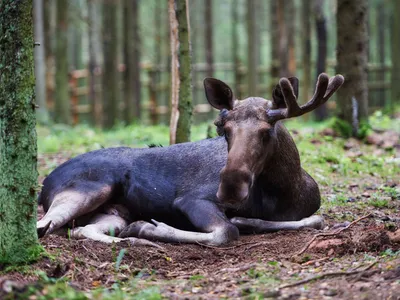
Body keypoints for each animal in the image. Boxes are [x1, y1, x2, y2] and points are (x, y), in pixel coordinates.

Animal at [36, 72, 344, 246]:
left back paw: (133, 240)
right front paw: (150, 227)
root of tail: (43, 184)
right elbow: (227, 231)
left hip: (113, 212)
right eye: (223, 129)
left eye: (267, 130)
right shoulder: (191, 199)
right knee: (44, 227)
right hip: (88, 189)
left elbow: (317, 220)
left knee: (80, 230)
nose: (230, 188)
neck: (285, 192)